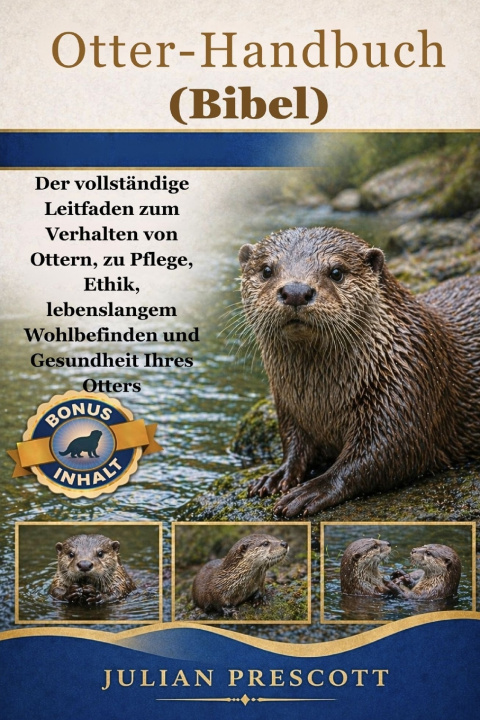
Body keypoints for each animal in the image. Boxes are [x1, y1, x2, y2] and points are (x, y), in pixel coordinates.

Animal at [239, 226, 480, 517]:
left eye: (336, 272)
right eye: (266, 270)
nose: (296, 291)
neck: (321, 401)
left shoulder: (407, 382)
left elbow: (385, 453)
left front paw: (311, 491)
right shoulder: (288, 406)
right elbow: (293, 442)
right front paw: (277, 476)